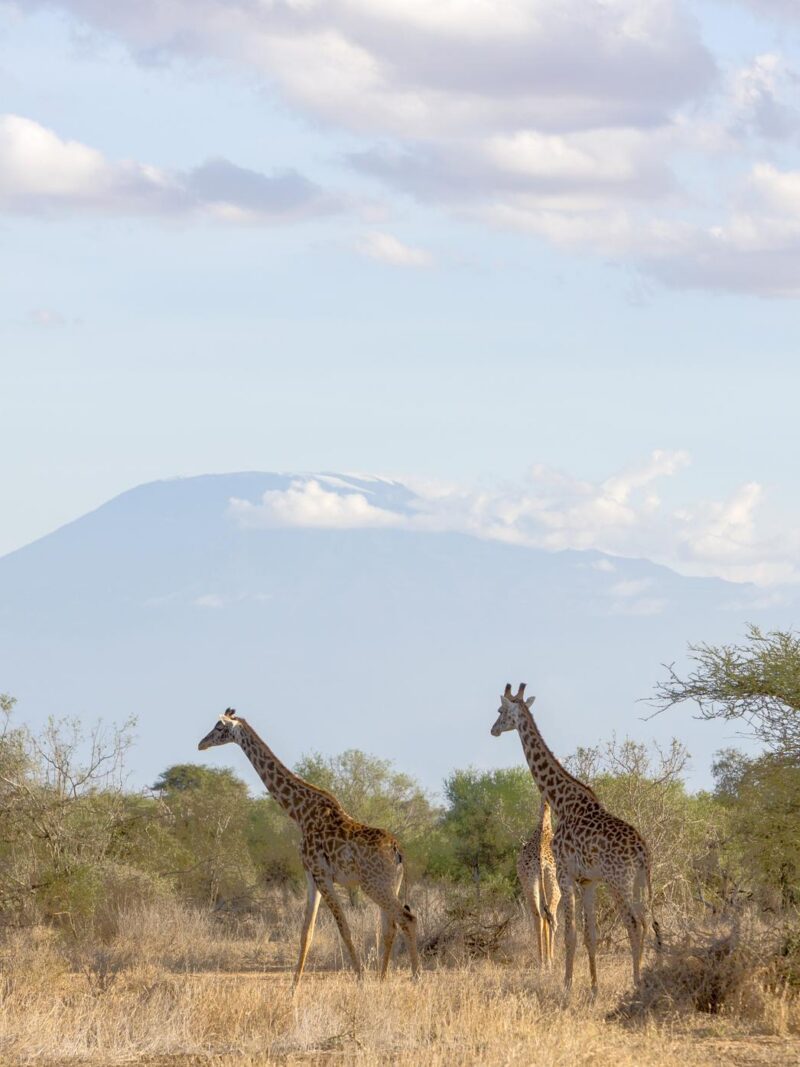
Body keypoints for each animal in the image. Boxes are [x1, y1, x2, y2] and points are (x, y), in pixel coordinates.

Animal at [198, 708, 420, 990]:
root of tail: (397, 851)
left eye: (219, 727)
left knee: (407, 919)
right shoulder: (310, 875)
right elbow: (307, 932)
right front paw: (293, 989)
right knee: (390, 926)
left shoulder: (322, 874)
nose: (201, 744)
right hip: (390, 884)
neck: (300, 812)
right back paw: (383, 980)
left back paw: (416, 977)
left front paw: (360, 980)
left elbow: (343, 928)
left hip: (373, 885)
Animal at [517, 797, 560, 968]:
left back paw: (542, 961)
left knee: (538, 918)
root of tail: (541, 861)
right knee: (552, 919)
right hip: (555, 887)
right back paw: (550, 960)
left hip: (529, 886)